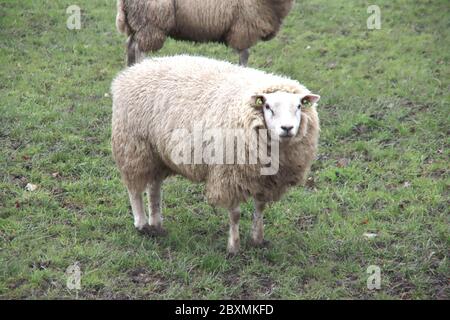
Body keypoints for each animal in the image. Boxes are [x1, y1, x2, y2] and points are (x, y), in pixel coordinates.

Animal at [111, 55, 320, 255]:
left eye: (299, 107)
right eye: (268, 107)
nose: (287, 128)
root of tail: (132, 70)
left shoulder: (264, 178)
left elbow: (259, 208)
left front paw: (257, 239)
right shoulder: (229, 175)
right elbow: (235, 214)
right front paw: (233, 247)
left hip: (157, 153)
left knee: (154, 187)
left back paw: (156, 225)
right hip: (134, 147)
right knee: (134, 189)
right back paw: (142, 224)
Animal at [116, 0, 296, 66]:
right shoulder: (244, 28)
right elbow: (245, 56)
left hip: (137, 23)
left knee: (130, 45)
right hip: (151, 22)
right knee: (139, 49)